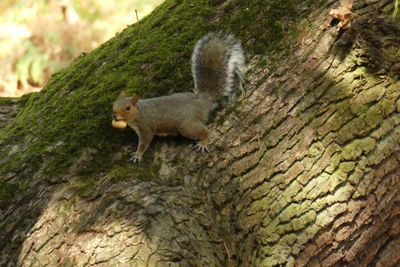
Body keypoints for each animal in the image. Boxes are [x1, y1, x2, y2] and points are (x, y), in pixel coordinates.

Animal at [111, 32, 245, 162]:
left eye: (128, 108)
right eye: (114, 104)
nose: (114, 116)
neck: (139, 112)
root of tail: (202, 102)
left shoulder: (146, 127)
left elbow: (145, 142)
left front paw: (138, 155)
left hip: (186, 126)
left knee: (204, 131)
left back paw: (203, 142)